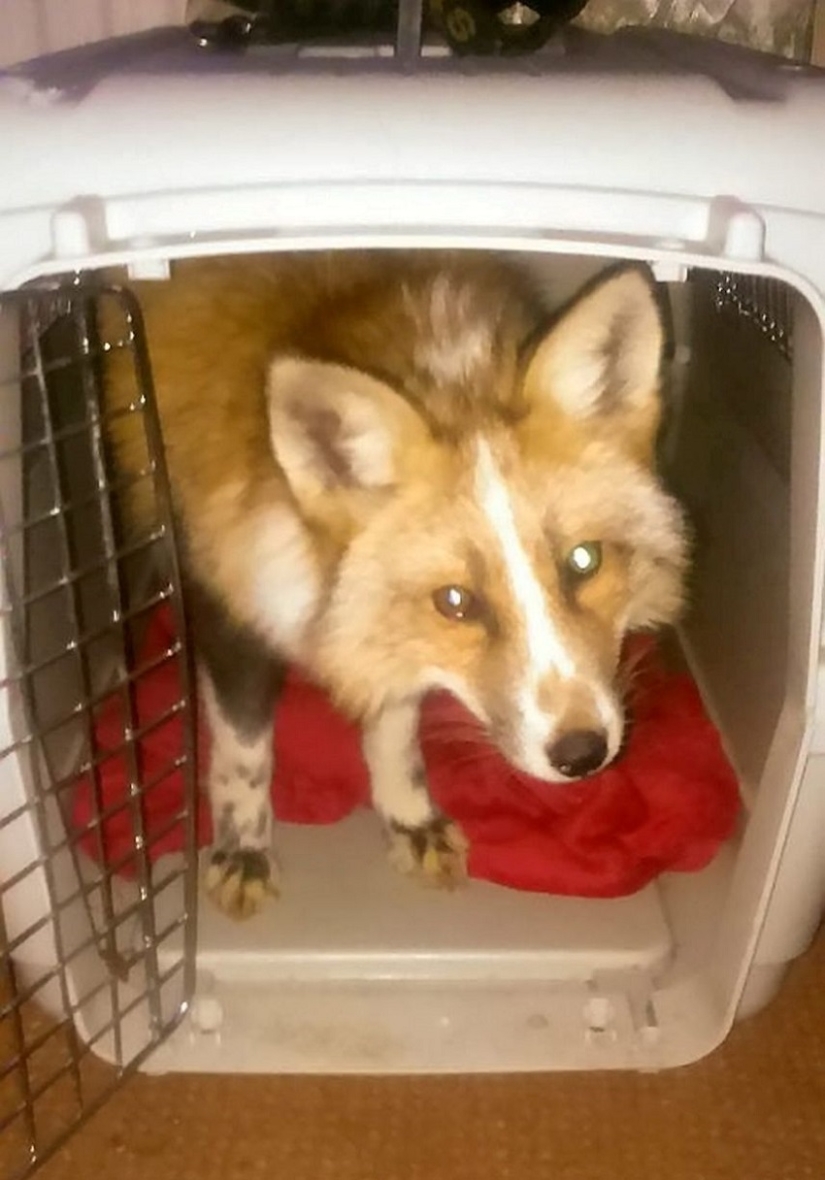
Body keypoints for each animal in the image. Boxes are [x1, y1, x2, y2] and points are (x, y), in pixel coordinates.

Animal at [103, 250, 689, 919]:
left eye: (585, 561)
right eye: (456, 601)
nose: (582, 754)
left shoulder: (381, 624)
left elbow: (394, 734)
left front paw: (409, 820)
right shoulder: (229, 611)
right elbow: (244, 756)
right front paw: (244, 849)